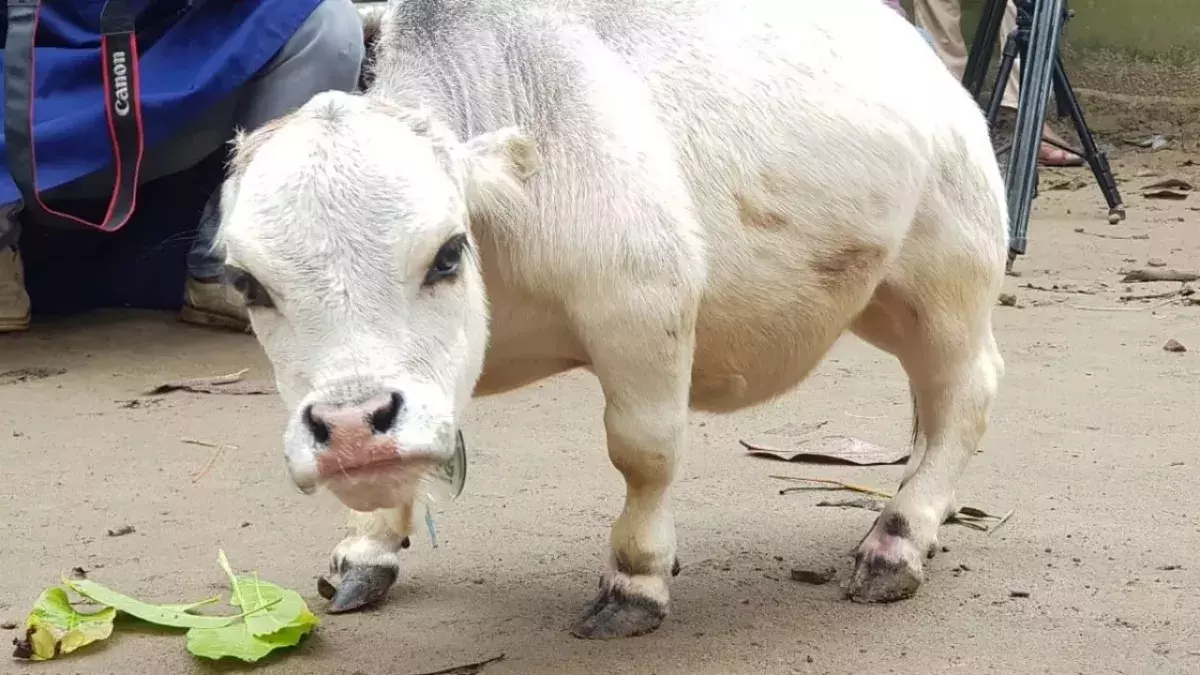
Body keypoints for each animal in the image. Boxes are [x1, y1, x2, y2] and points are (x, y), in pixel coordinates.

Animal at [214, 0, 1008, 639]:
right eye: (247, 282)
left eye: (446, 253)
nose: (351, 429)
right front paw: (370, 543)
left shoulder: (642, 310)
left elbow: (643, 454)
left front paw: (637, 578)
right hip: (881, 299)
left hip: (945, 289)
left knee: (966, 393)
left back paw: (900, 536)